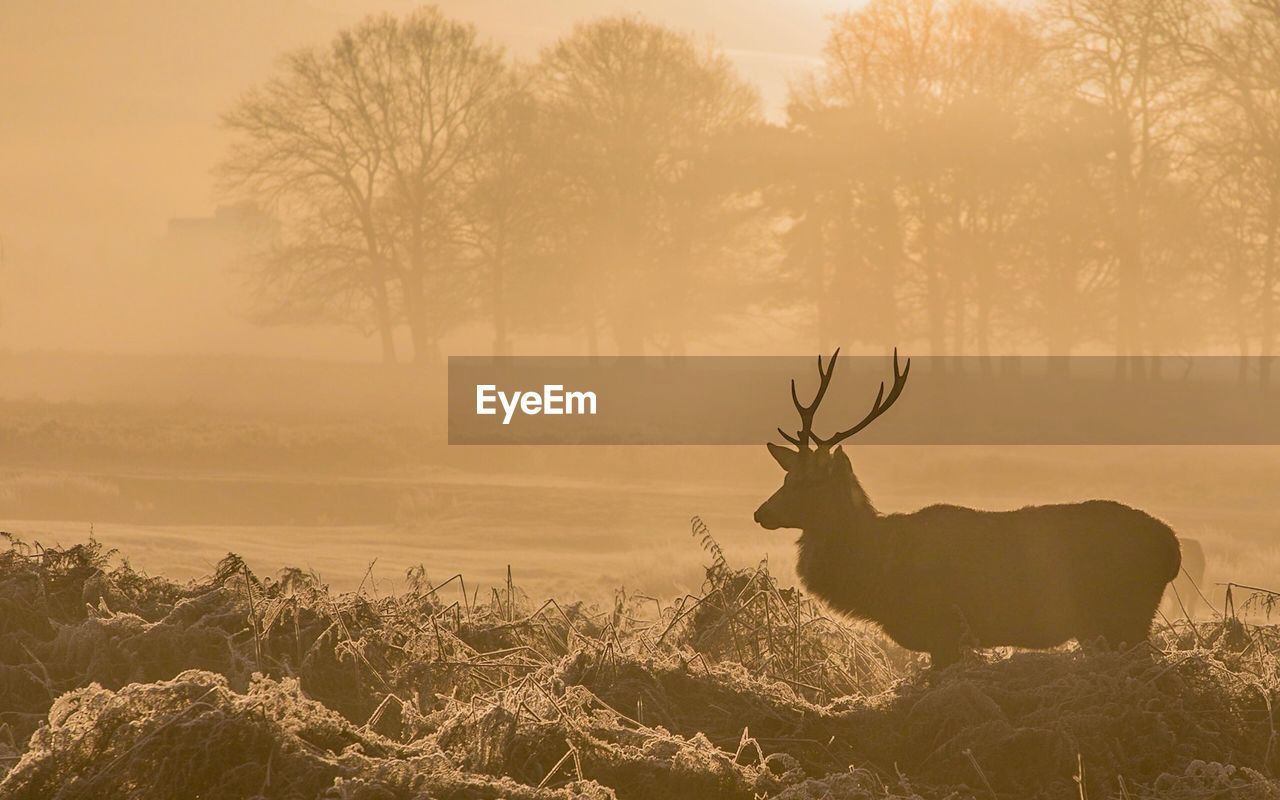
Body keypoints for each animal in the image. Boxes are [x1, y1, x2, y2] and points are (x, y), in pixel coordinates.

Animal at [752, 348, 1182, 665]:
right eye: (787, 478)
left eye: (812, 482)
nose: (762, 513)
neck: (880, 572)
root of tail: (1172, 548)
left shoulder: (946, 629)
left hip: (1125, 615)